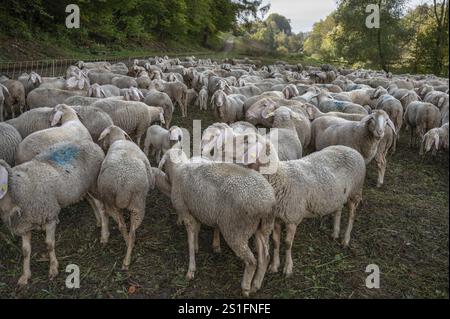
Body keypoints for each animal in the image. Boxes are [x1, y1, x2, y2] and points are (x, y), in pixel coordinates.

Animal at [0, 141, 103, 286]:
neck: (19, 189)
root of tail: (91, 143)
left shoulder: (50, 216)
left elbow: (49, 244)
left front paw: (53, 268)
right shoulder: (24, 225)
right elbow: (25, 251)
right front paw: (25, 275)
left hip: (94, 182)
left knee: (100, 205)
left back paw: (104, 234)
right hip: (83, 188)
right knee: (91, 201)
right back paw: (98, 221)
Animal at [96, 126, 156, 272]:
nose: (102, 145)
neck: (118, 139)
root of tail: (122, 186)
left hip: (111, 203)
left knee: (121, 226)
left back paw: (127, 245)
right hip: (138, 204)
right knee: (132, 231)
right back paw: (127, 259)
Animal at [156, 149, 276, 296]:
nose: (167, 179)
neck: (178, 168)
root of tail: (267, 203)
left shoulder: (185, 211)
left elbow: (190, 239)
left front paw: (191, 269)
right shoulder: (199, 209)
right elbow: (198, 230)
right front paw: (199, 247)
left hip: (235, 230)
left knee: (251, 261)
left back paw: (246, 288)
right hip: (264, 227)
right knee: (265, 257)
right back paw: (256, 284)